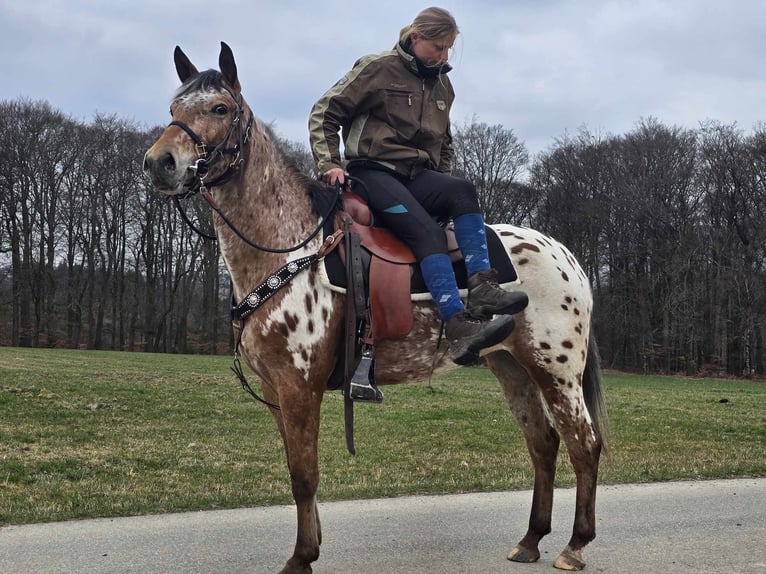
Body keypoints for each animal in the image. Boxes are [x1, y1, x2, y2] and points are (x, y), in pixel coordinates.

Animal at [144, 42, 612, 572]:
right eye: (174, 108)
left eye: (220, 108)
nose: (160, 162)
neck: (289, 247)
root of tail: (567, 256)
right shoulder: (275, 388)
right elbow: (297, 471)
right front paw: (312, 546)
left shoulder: (299, 386)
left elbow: (304, 474)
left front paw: (301, 557)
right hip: (511, 366)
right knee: (543, 444)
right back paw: (532, 539)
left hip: (556, 368)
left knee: (583, 444)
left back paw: (574, 545)